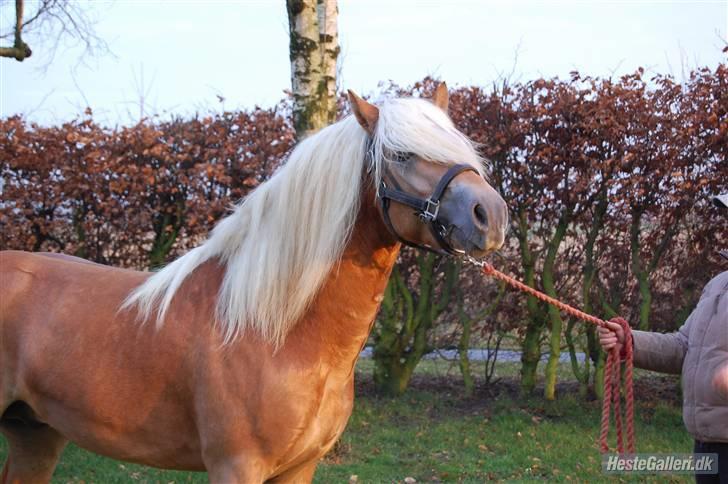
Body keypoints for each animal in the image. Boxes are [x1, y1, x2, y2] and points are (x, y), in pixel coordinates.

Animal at [0, 85, 506, 482]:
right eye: (400, 154)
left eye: (460, 144)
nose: (492, 216)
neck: (275, 329)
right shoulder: (236, 467)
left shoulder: (298, 469)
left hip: (35, 435)